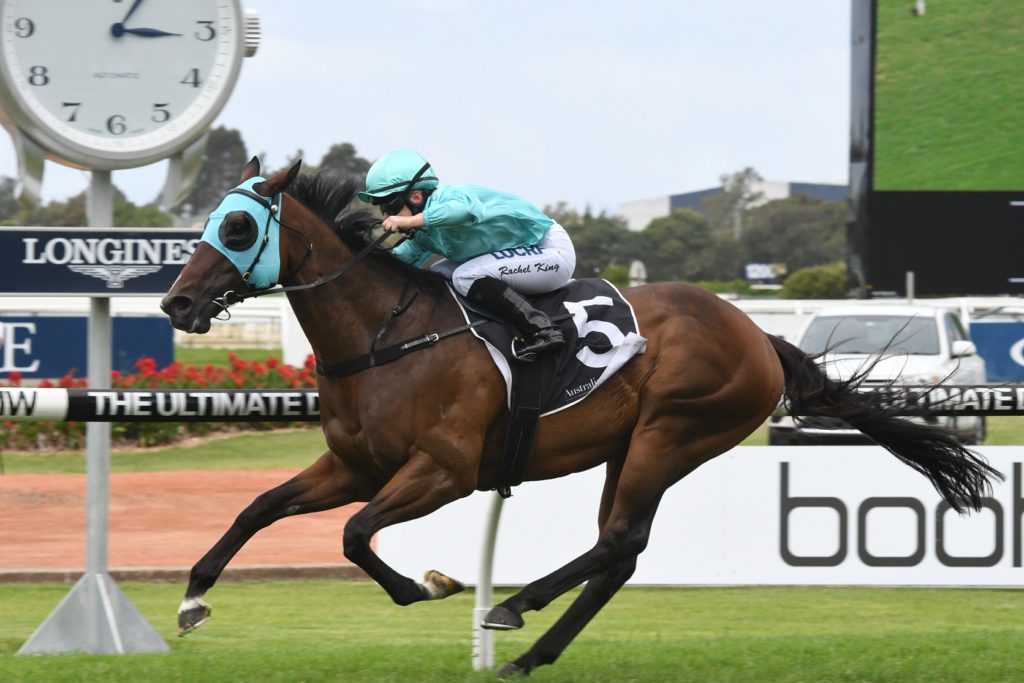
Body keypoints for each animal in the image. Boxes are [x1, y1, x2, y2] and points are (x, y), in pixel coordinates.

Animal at [160, 158, 1000, 678]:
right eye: (209, 224)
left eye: (238, 229)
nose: (176, 302)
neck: (384, 335)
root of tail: (757, 334)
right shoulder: (355, 464)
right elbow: (260, 507)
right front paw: (194, 597)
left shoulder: (444, 470)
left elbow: (355, 534)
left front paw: (430, 585)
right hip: (630, 447)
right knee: (618, 552)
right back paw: (529, 650)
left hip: (672, 432)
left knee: (620, 541)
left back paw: (512, 607)